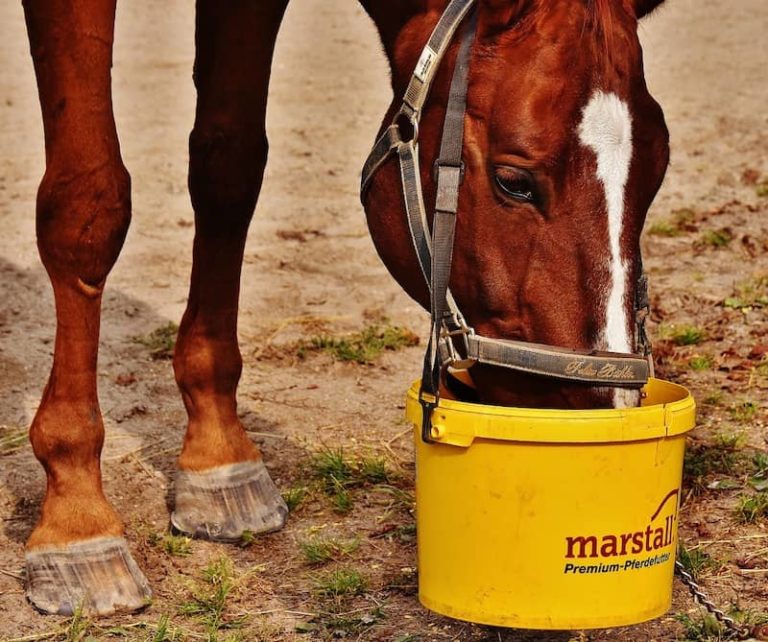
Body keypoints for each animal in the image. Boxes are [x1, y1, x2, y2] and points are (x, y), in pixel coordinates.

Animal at [18, 0, 669, 616]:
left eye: (658, 172)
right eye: (514, 181)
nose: (606, 409)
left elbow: (227, 170)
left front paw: (218, 458)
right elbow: (88, 206)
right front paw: (76, 519)